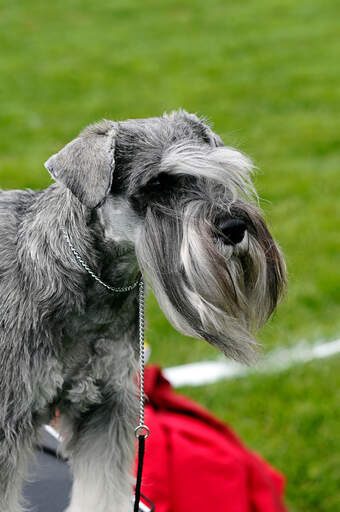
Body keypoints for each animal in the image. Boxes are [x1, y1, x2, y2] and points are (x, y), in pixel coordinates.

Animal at [0, 110, 286, 510]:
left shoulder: (104, 410)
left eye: (218, 173)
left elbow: (102, 491)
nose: (234, 227)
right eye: (158, 183)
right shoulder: (9, 419)